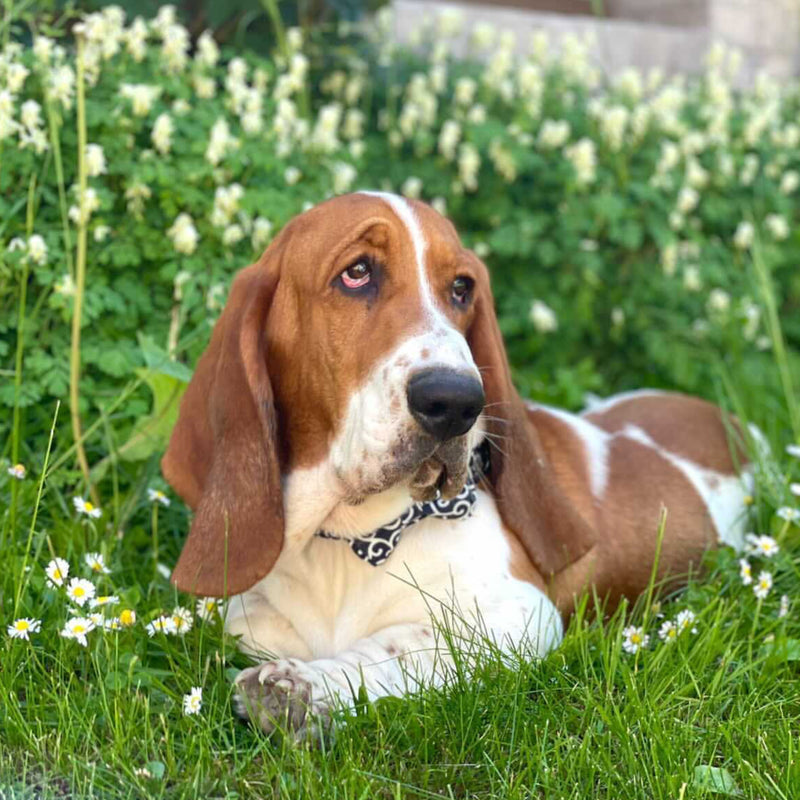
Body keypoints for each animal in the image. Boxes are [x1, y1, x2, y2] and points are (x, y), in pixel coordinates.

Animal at [161, 191, 752, 740]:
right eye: (357, 273)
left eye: (462, 289)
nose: (456, 401)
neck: (352, 538)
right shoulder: (249, 620)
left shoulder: (518, 615)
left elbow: (405, 644)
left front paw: (308, 688)